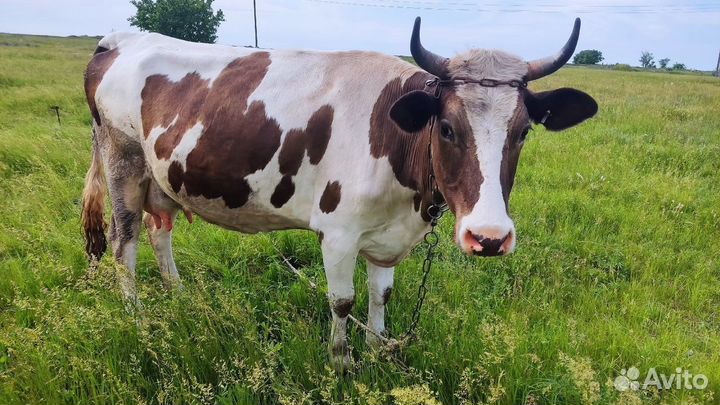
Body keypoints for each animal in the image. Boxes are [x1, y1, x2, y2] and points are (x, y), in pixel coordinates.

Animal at [81, 17, 597, 369]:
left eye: (524, 131)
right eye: (447, 128)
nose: (488, 237)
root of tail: (121, 38)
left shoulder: (386, 233)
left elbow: (381, 294)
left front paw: (376, 347)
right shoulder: (338, 232)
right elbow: (342, 301)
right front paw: (342, 363)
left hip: (160, 177)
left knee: (159, 231)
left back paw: (180, 295)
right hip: (122, 162)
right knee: (123, 243)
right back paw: (137, 317)